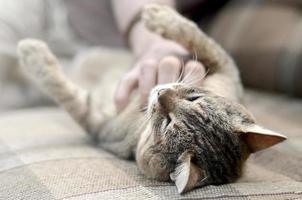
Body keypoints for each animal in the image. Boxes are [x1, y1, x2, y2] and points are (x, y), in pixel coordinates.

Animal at [16, 3, 286, 193]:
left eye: (167, 123)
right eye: (194, 97)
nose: (161, 92)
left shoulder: (99, 125)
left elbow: (65, 92)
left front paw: (32, 52)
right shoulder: (226, 69)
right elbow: (198, 37)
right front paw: (160, 15)